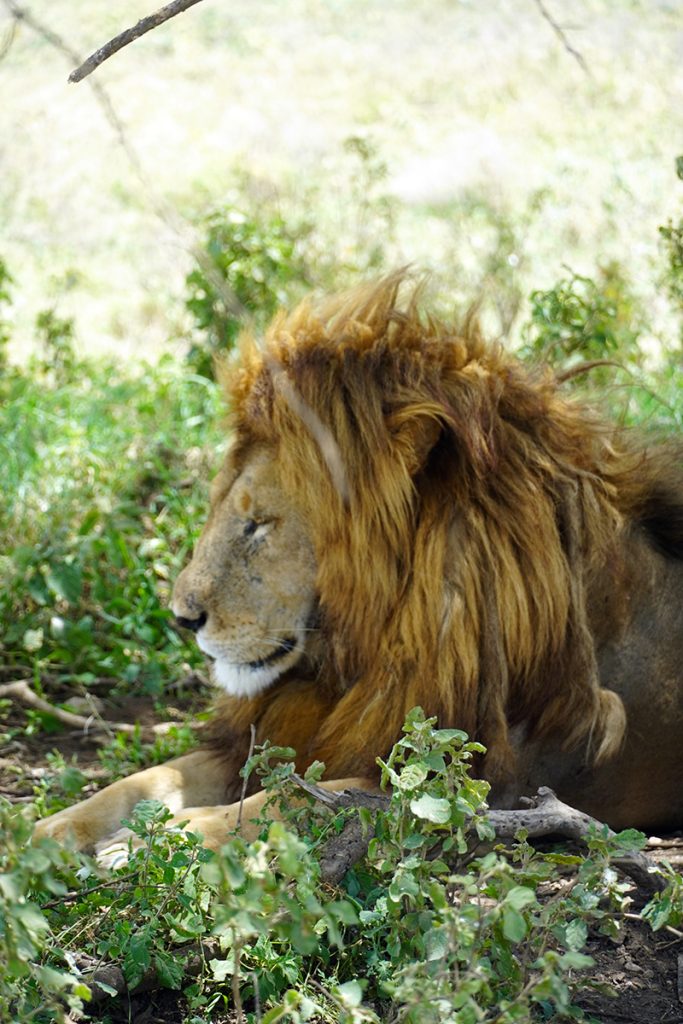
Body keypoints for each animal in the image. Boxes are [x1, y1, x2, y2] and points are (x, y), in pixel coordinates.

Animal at [34, 274, 683, 856]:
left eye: (258, 523)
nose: (182, 617)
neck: (360, 650)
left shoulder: (478, 783)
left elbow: (288, 801)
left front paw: (160, 840)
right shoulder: (270, 735)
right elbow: (145, 780)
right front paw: (46, 830)